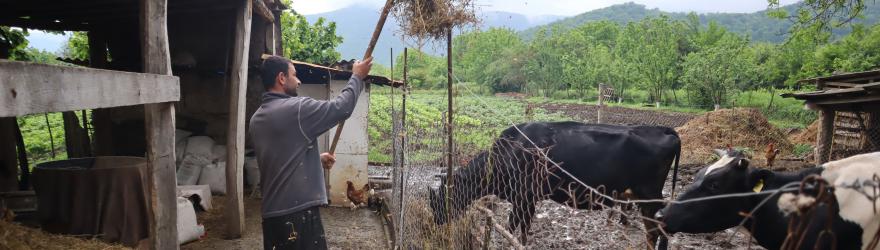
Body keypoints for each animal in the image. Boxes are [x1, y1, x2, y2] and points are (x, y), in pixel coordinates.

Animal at [426, 121, 680, 246]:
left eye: (438, 200)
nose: (435, 222)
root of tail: (664, 129)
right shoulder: (527, 199)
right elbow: (523, 226)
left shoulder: (523, 197)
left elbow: (513, 226)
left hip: (649, 196)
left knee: (654, 232)